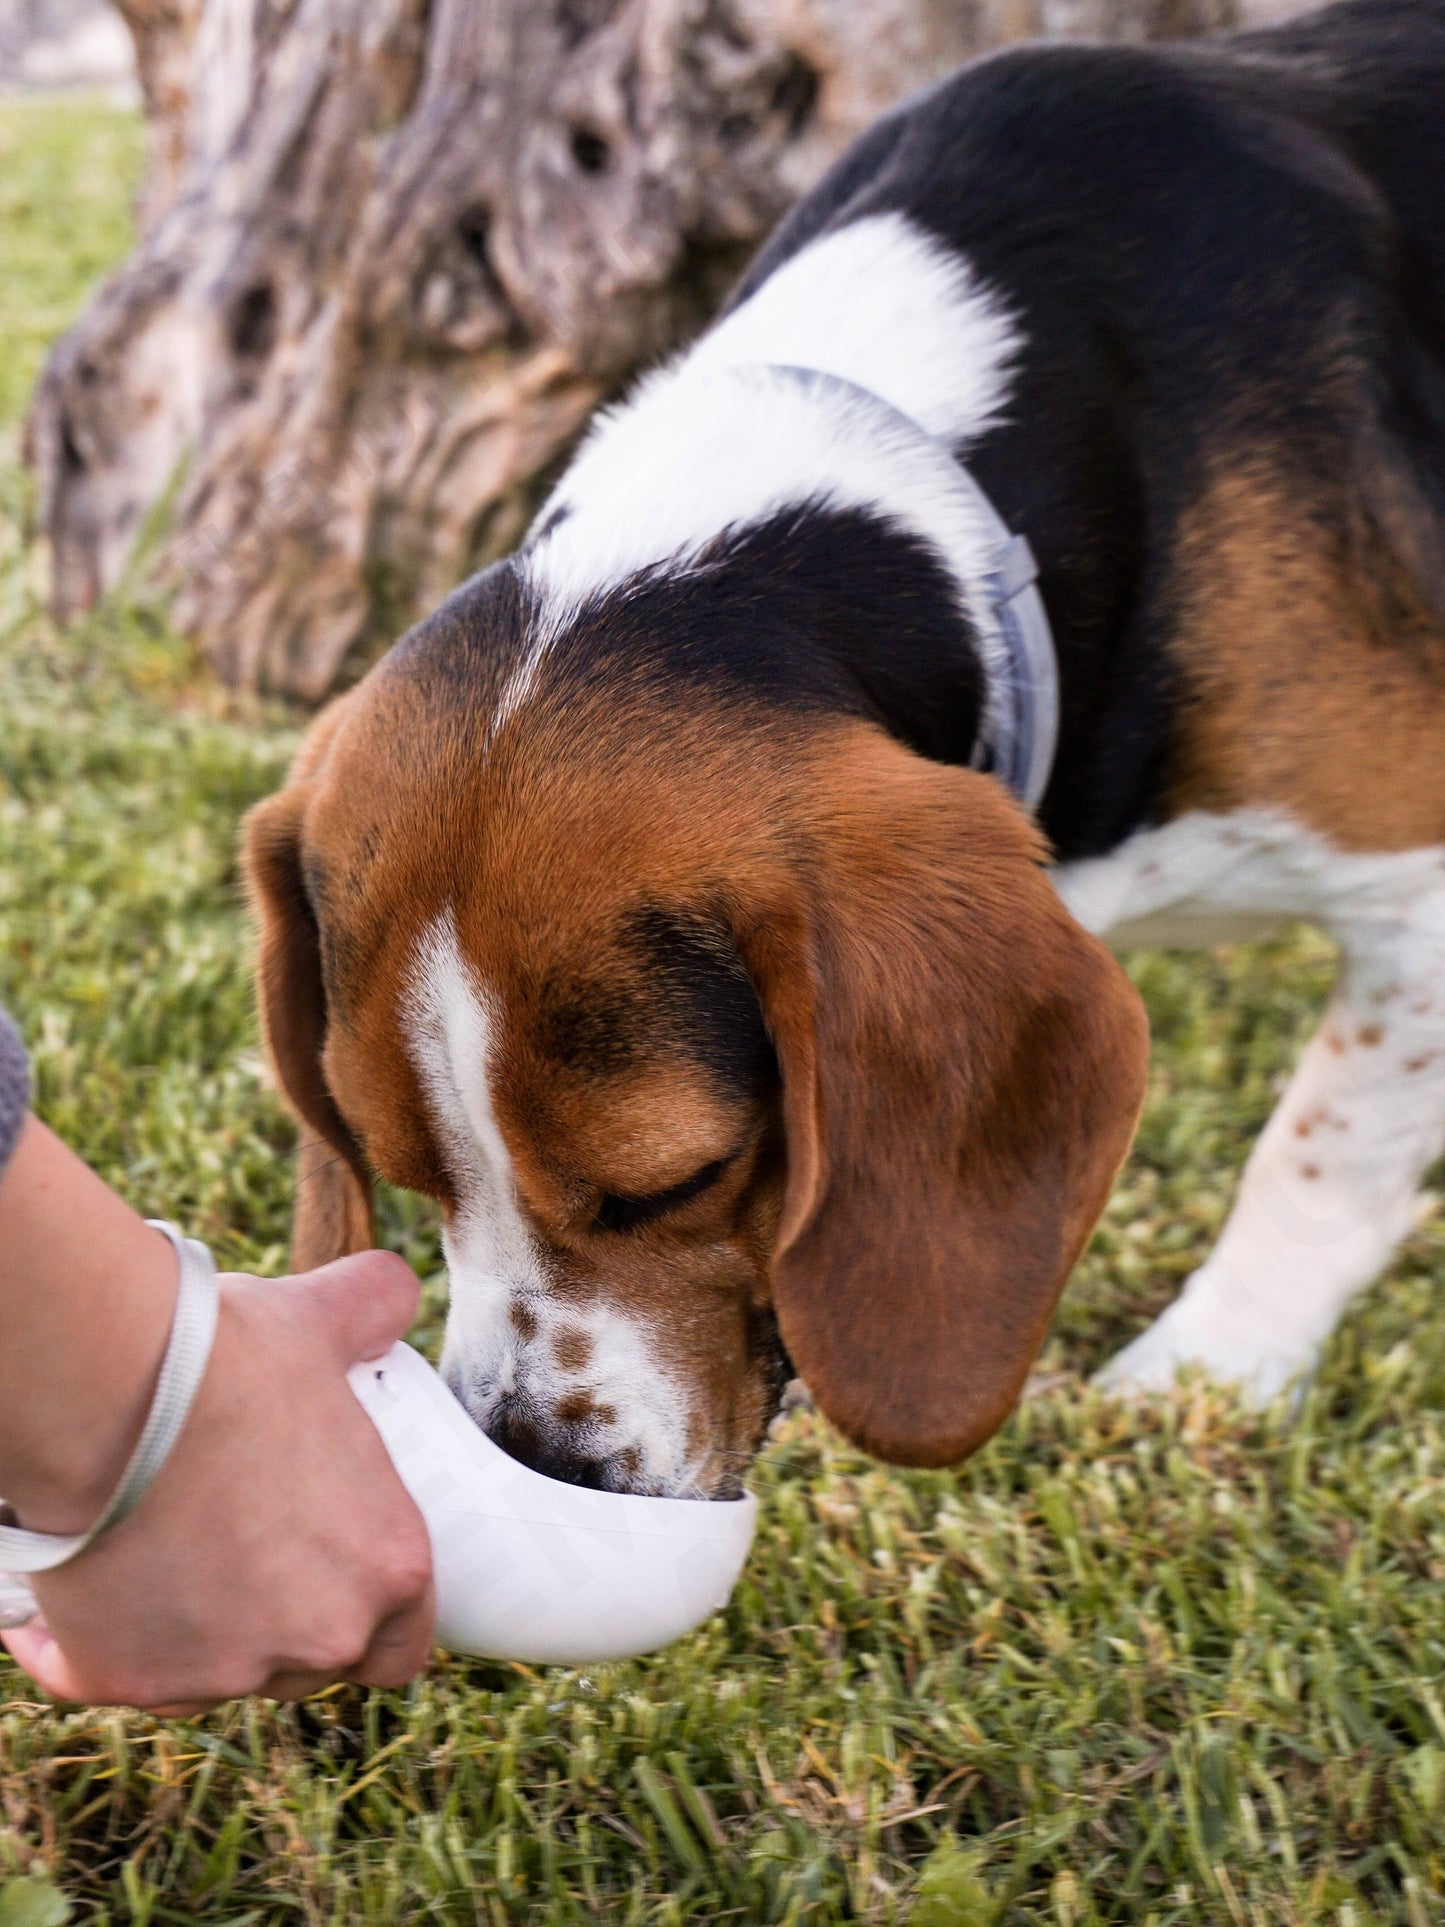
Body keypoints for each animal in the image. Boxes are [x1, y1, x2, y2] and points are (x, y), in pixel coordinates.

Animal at [243, 0, 1445, 1495]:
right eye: (406, 1172)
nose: (531, 1462)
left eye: (675, 1179)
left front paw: (1212, 1368)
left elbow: (1322, 1146)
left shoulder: (1418, 887)